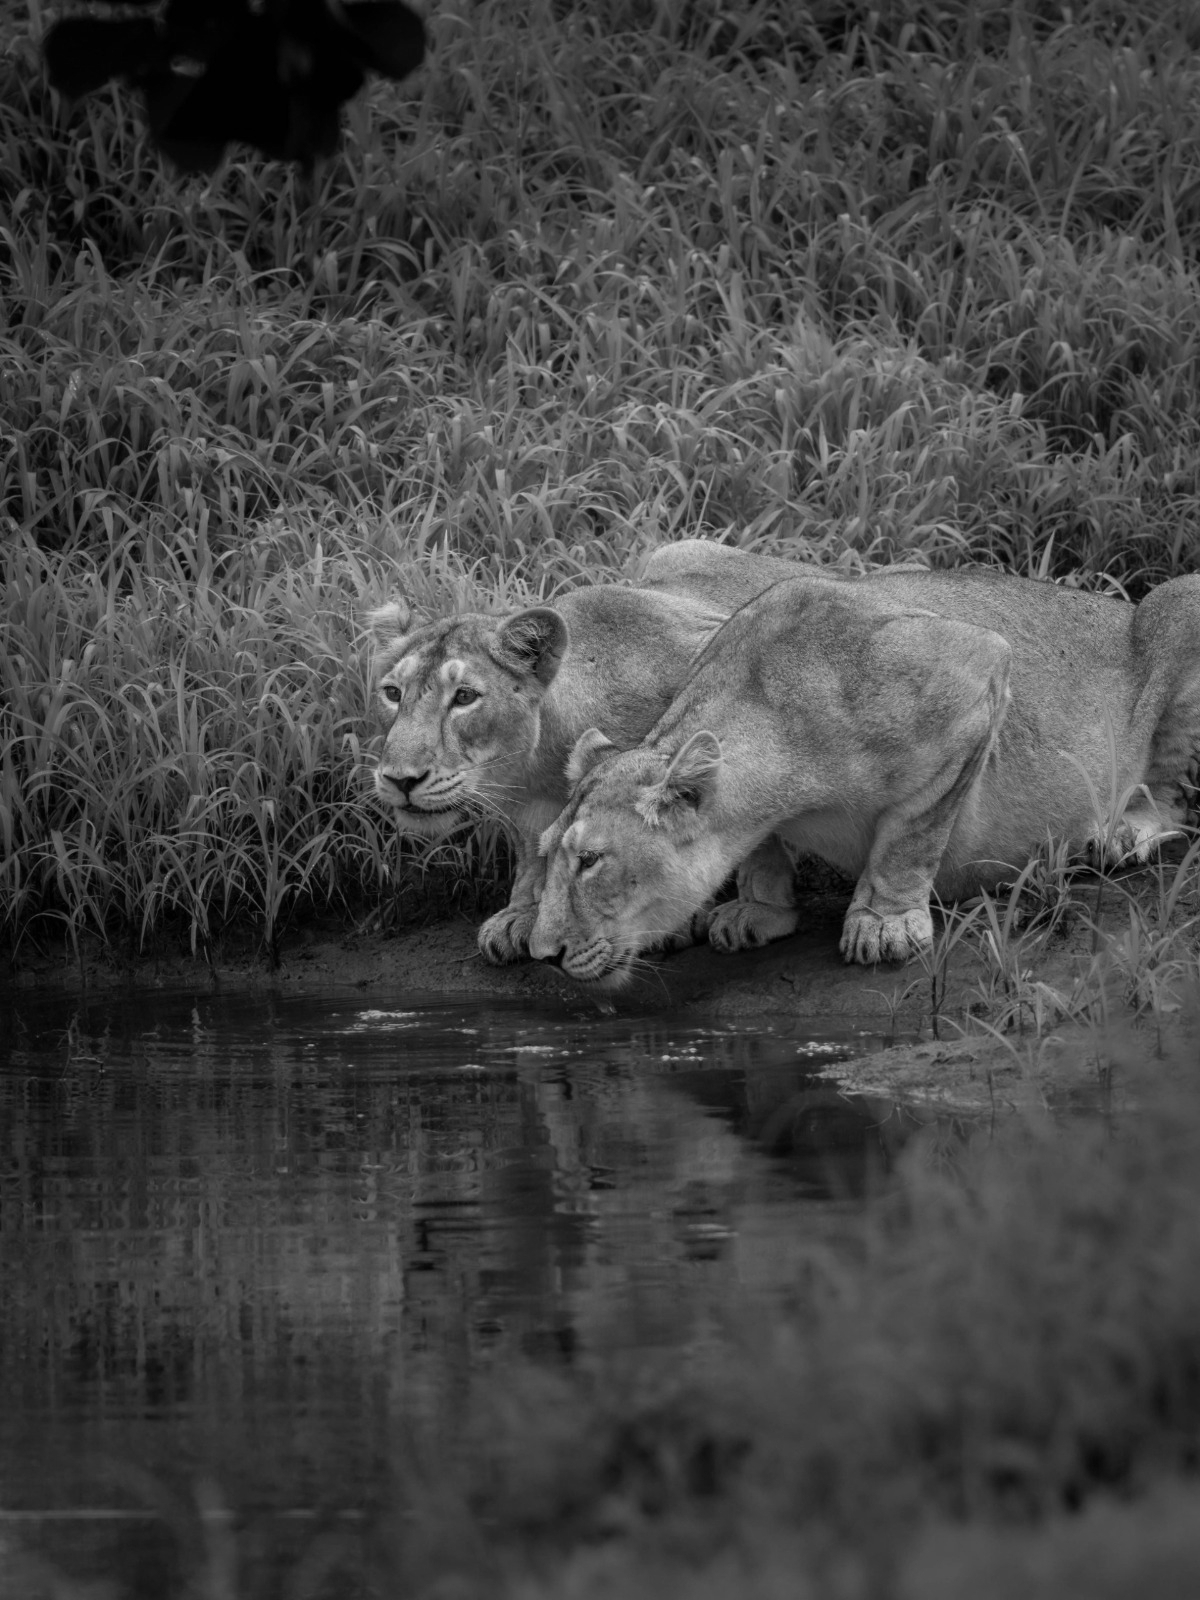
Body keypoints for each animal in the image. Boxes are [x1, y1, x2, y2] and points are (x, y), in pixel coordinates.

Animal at [368, 578, 730, 963]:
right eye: (392, 693)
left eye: (464, 697)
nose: (400, 780)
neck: (541, 770)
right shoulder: (525, 809)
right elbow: (533, 852)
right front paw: (523, 913)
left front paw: (674, 922)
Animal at [529, 545, 1200, 988]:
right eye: (550, 853)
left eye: (590, 861)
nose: (542, 954)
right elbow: (758, 850)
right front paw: (760, 912)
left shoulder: (972, 671)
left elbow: (911, 836)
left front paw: (883, 926)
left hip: (1178, 604)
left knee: (1174, 803)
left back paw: (1115, 836)